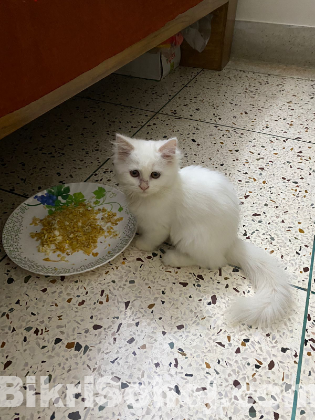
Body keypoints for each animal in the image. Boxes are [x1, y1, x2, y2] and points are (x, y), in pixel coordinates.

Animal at [114, 135, 294, 328]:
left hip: (189, 236)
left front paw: (140, 244)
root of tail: (230, 242)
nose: (144, 186)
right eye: (134, 173)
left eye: (155, 175)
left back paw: (171, 257)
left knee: (211, 262)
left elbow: (150, 240)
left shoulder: (159, 226)